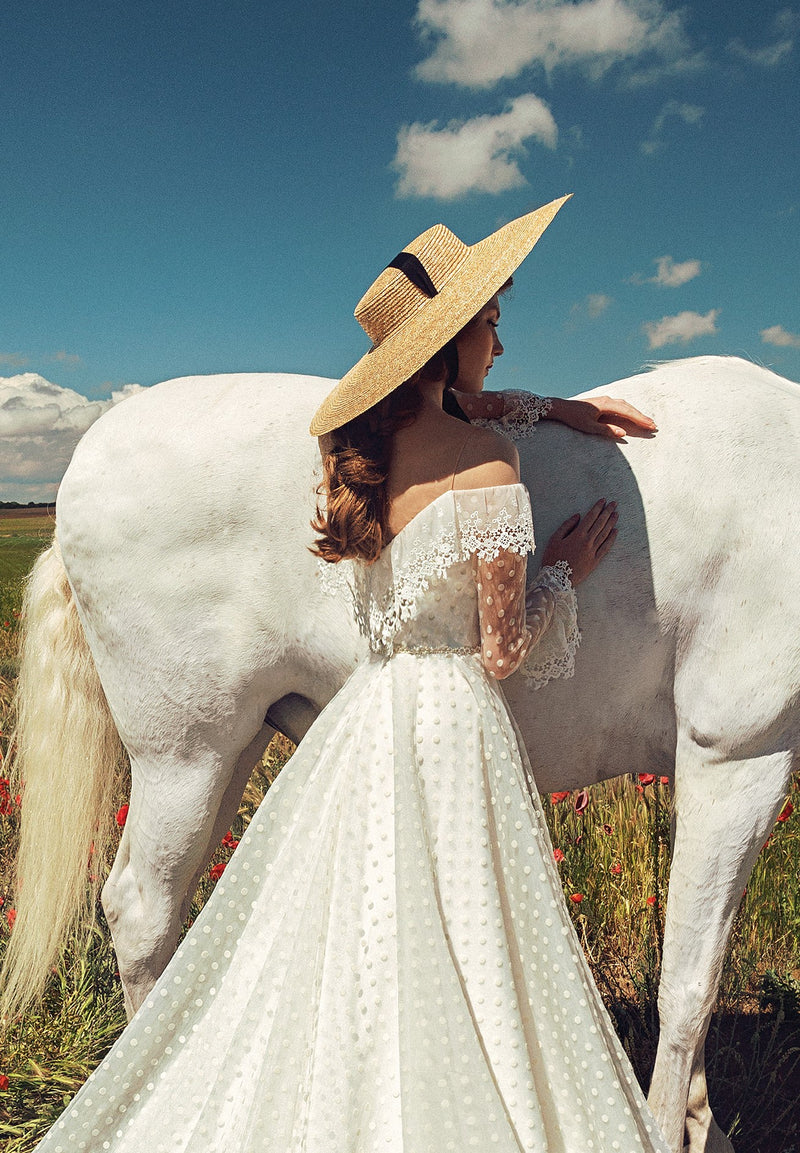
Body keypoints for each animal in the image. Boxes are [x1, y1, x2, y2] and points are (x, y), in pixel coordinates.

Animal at [1, 352, 800, 1153]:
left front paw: (702, 1124)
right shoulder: (736, 757)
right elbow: (690, 983)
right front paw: (667, 1128)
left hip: (227, 753)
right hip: (183, 757)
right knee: (141, 912)